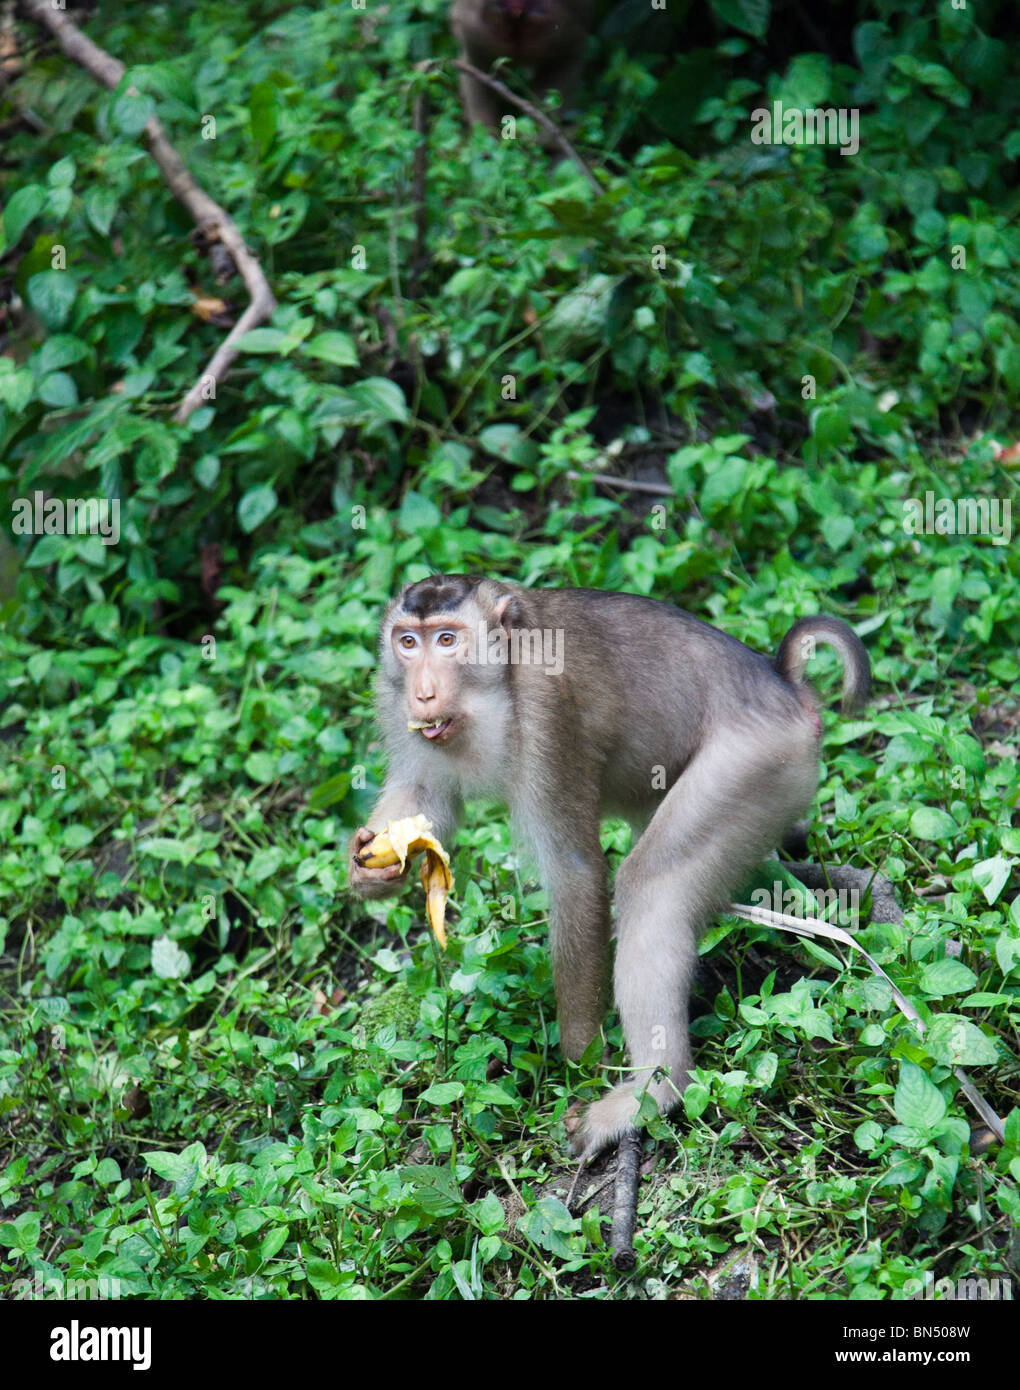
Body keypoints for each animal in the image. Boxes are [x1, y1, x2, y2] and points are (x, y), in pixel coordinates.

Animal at [350, 575, 872, 1162]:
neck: (496, 687)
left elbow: (577, 875)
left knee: (653, 888)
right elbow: (425, 797)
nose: (423, 692)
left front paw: (578, 1067)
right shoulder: (394, 701)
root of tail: (780, 682)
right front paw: (371, 869)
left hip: (757, 763)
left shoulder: (547, 710)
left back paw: (656, 1090)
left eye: (446, 639)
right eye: (407, 642)